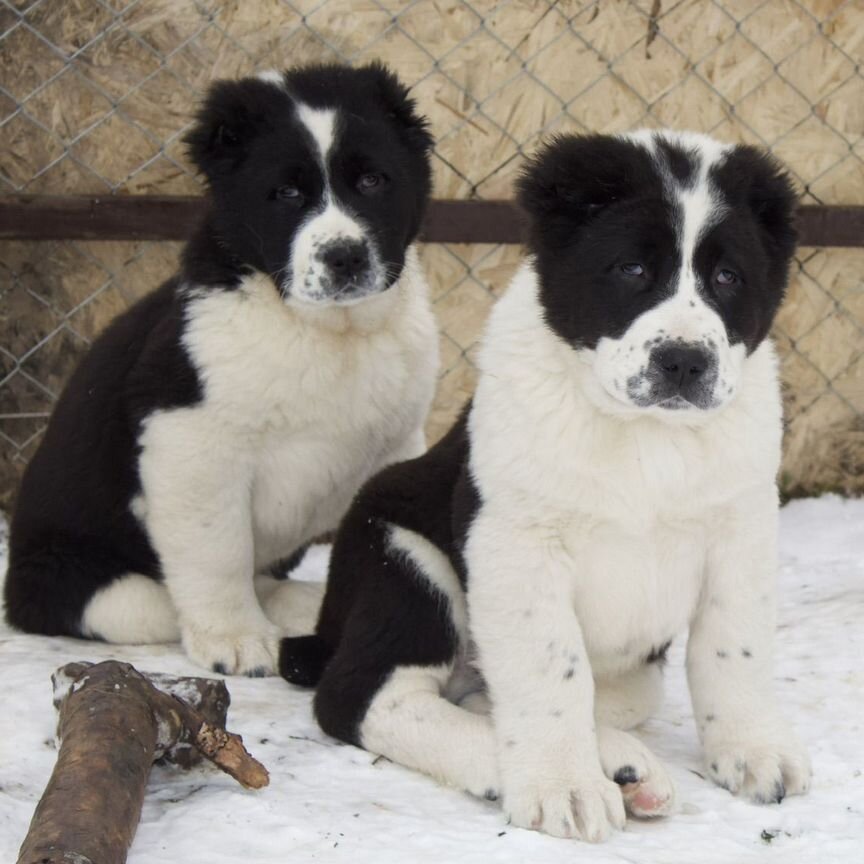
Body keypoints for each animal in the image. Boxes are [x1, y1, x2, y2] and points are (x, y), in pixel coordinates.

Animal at [3, 64, 438, 680]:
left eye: (373, 181)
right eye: (286, 194)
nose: (345, 257)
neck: (325, 332)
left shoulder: (398, 442)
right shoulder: (189, 440)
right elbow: (217, 552)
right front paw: (236, 638)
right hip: (78, 580)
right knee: (149, 599)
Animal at [282, 132, 808, 840]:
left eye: (728, 278)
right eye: (631, 270)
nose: (684, 362)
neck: (647, 436)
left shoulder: (740, 529)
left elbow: (734, 651)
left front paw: (754, 751)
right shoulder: (516, 542)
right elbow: (550, 671)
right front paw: (563, 786)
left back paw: (622, 766)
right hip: (401, 558)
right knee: (362, 697)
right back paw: (530, 766)